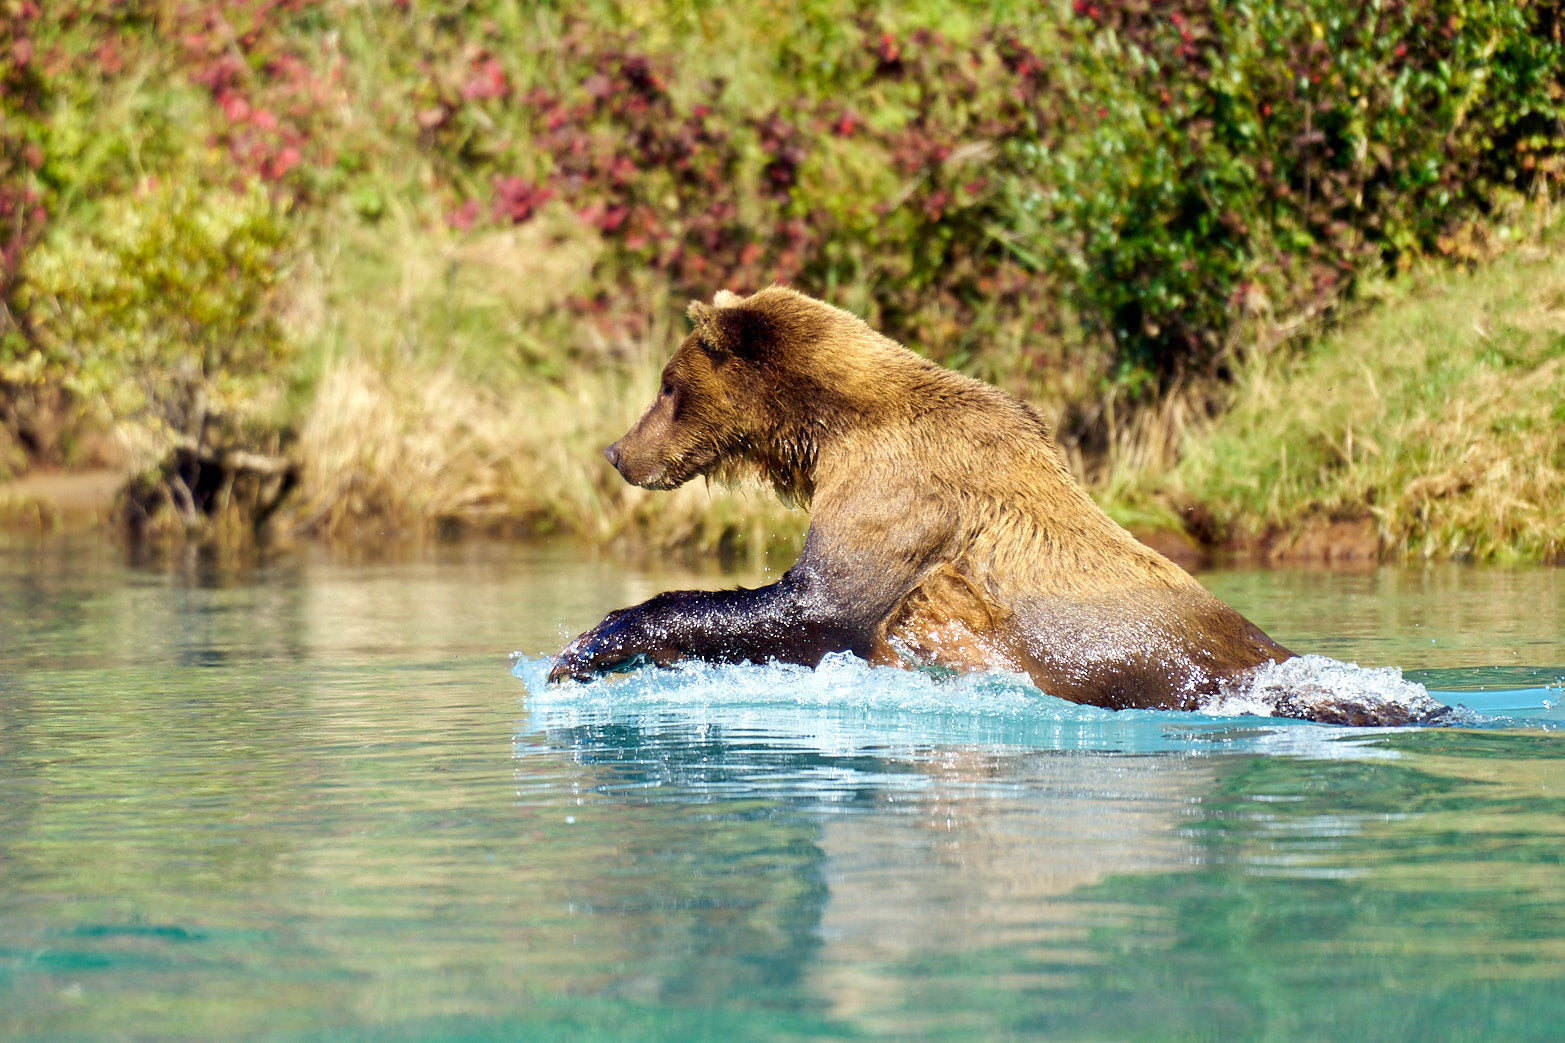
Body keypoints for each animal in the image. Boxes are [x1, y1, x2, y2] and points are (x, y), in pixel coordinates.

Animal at [549, 286, 1448, 726]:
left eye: (666, 385)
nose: (618, 450)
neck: (827, 428)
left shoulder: (899, 492)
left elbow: (820, 605)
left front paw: (587, 648)